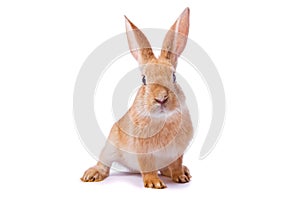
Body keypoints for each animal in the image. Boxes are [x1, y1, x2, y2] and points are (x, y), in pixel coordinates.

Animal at [80, 7, 192, 189]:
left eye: (174, 77)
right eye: (144, 80)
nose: (161, 98)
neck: (162, 120)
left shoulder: (177, 153)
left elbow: (176, 165)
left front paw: (180, 177)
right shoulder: (144, 153)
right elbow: (148, 168)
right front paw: (154, 183)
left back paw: (185, 171)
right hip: (110, 146)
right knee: (104, 164)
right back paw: (92, 174)